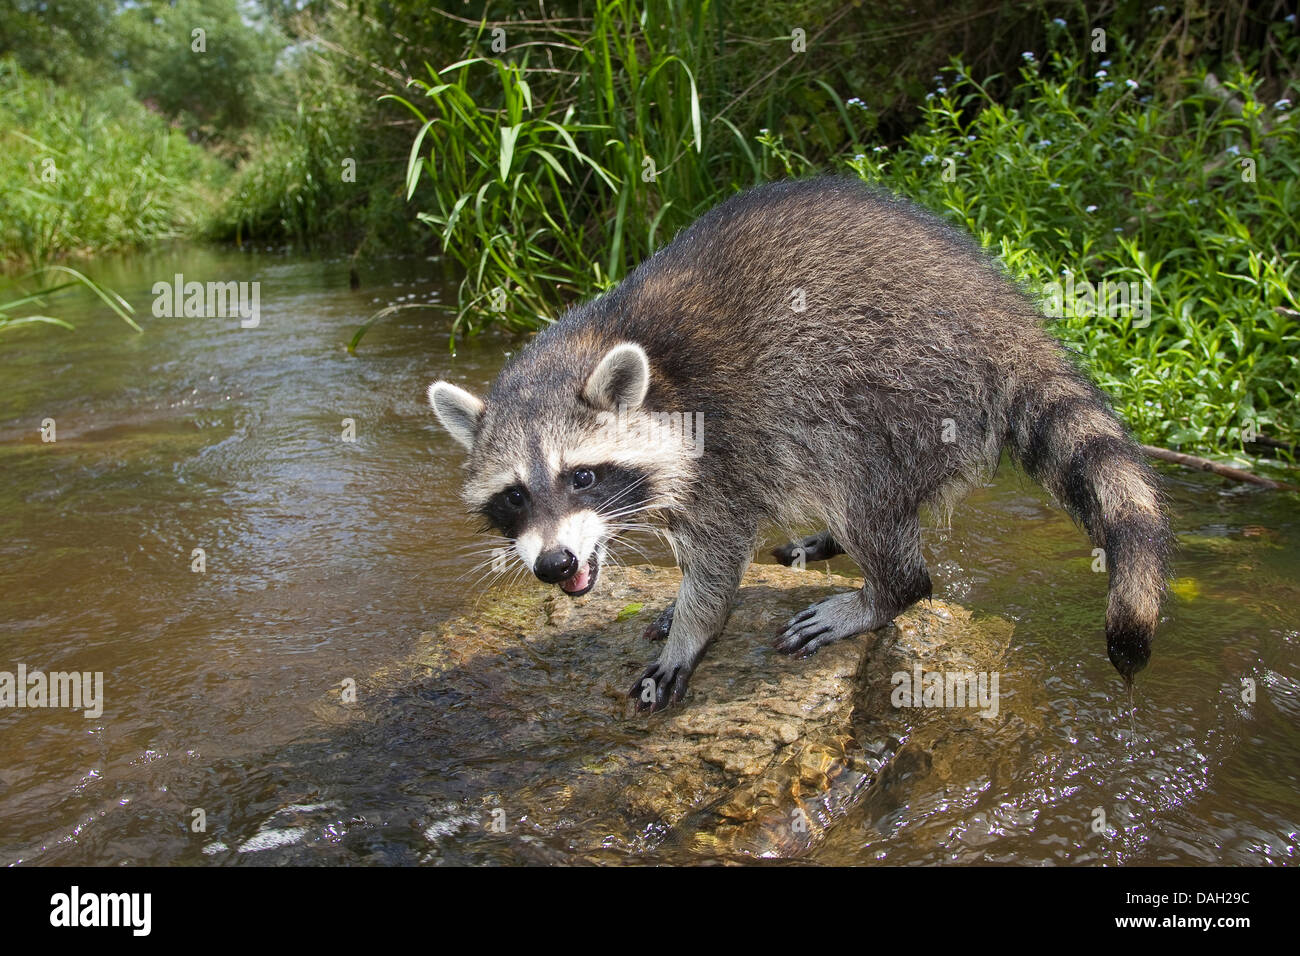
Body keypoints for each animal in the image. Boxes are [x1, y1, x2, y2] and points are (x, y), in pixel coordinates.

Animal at [426, 178, 1170, 712]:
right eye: (514, 496)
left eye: (581, 477)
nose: (554, 564)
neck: (595, 345)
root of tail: (1008, 321)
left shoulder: (721, 444)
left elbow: (718, 556)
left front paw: (694, 628)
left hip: (900, 385)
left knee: (862, 488)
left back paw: (885, 589)